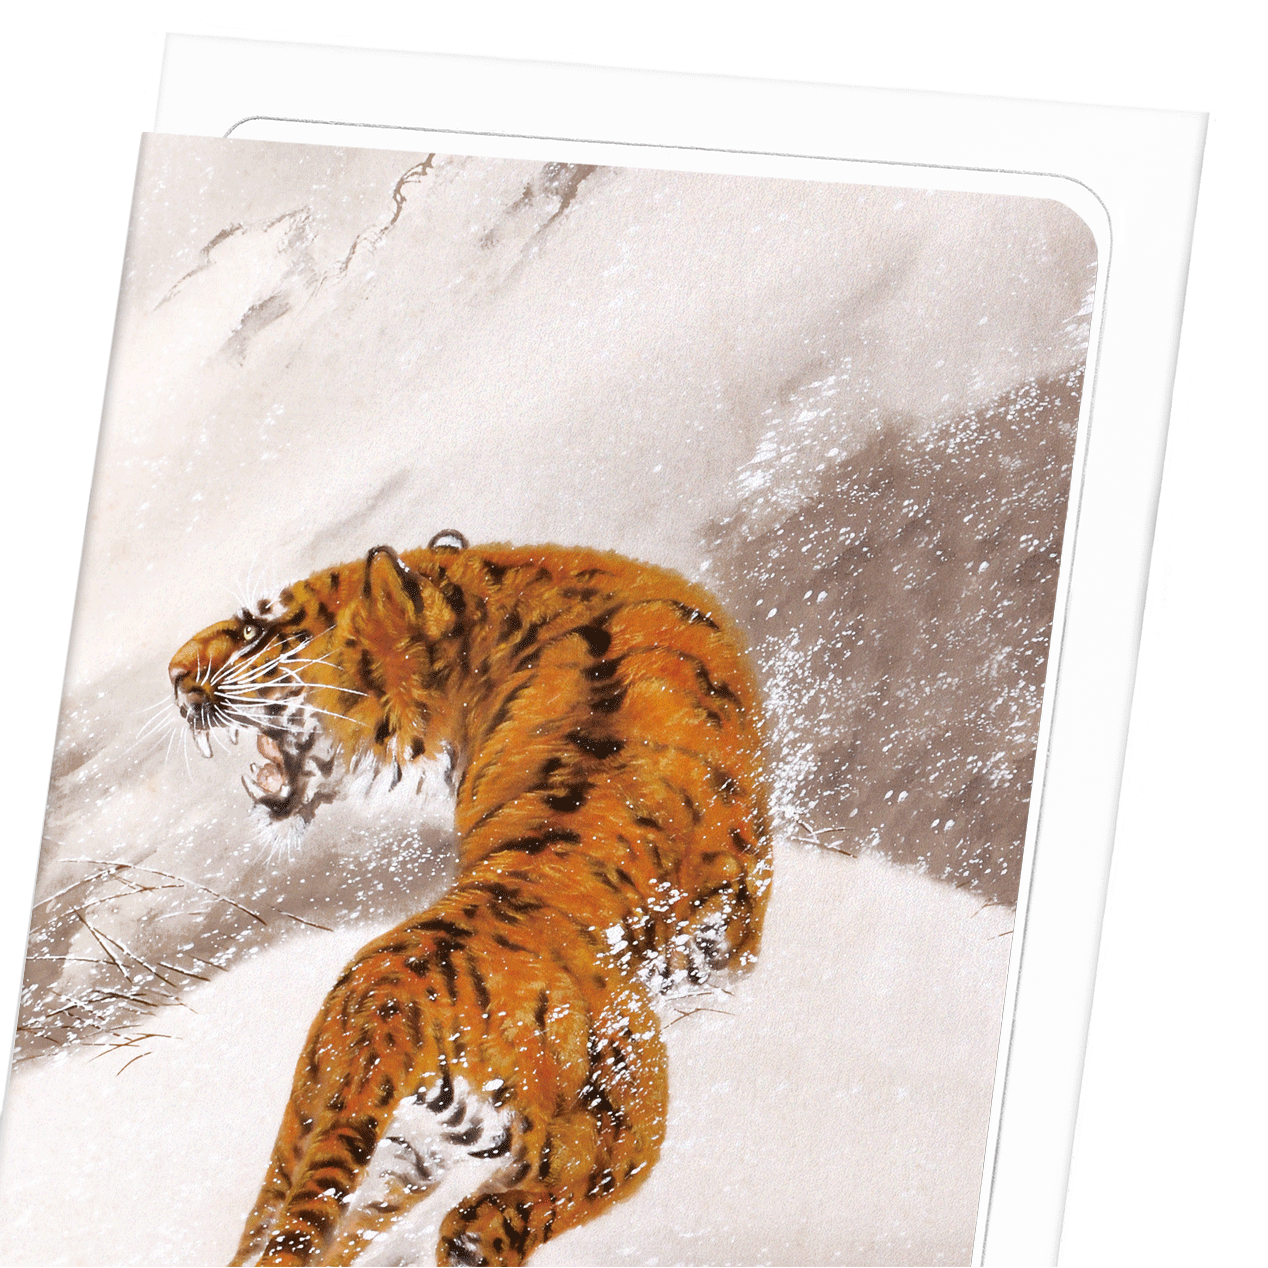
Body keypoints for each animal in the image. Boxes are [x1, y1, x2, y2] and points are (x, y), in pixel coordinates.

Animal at [167, 533, 772, 1266]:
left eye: (257, 626)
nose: (172, 674)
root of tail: (387, 1013)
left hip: (350, 1146)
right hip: (619, 1122)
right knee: (503, 1215)